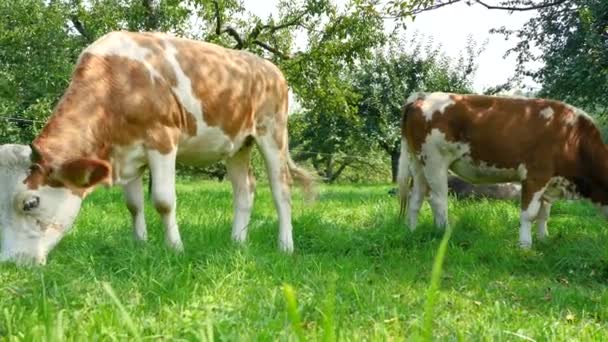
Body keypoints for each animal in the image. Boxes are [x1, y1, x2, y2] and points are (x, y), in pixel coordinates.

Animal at [0, 31, 314, 264]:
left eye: (30, 203)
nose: (12, 263)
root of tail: (270, 67)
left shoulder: (162, 140)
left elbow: (163, 201)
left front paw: (175, 248)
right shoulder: (127, 153)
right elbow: (134, 205)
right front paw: (140, 244)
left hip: (271, 132)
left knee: (281, 190)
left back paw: (285, 246)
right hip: (238, 143)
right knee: (244, 190)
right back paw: (237, 242)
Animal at [400, 91, 608, 248]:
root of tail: (424, 96)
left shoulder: (550, 182)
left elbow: (544, 214)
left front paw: (544, 240)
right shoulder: (536, 175)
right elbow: (529, 214)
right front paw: (525, 245)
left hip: (419, 163)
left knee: (415, 198)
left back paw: (411, 231)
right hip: (435, 161)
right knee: (438, 200)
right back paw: (444, 233)